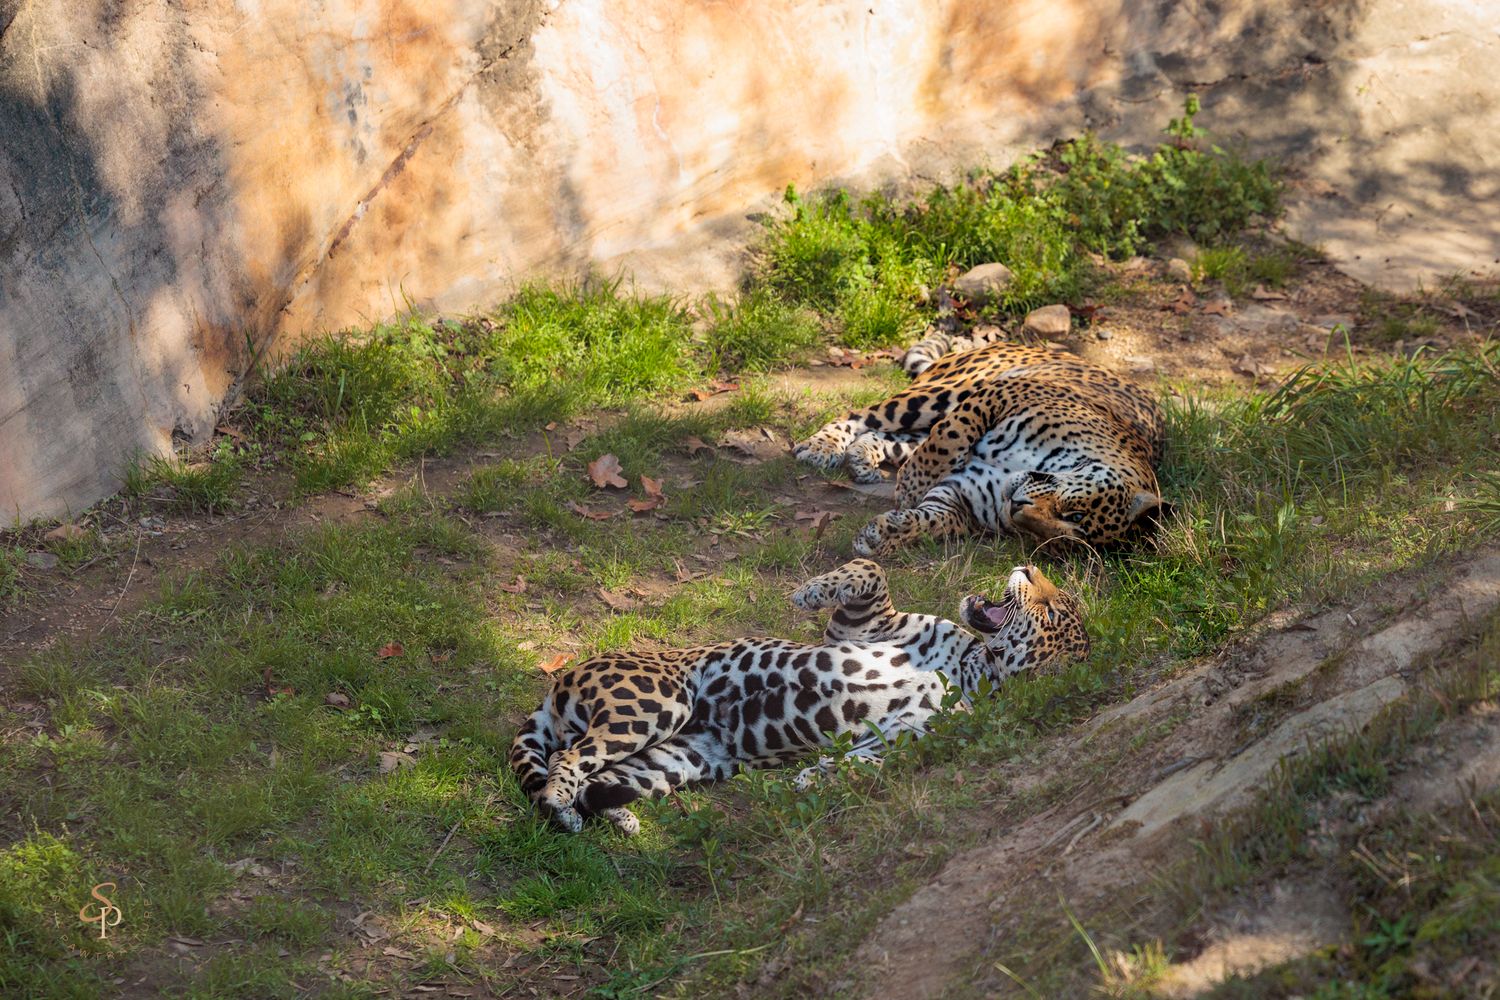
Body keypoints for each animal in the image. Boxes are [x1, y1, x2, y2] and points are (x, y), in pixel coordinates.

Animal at [509, 559, 1087, 834]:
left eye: (1053, 609)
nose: (1027, 567)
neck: (972, 672)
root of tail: (559, 682)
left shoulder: (902, 738)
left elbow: (860, 765)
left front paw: (809, 780)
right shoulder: (867, 627)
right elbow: (870, 570)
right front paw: (810, 591)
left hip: (674, 756)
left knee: (586, 770)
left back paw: (594, 811)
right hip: (659, 701)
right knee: (568, 757)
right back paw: (565, 803)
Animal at [794, 339, 1170, 555]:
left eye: (1055, 540)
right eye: (1074, 515)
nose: (1016, 509)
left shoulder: (957, 501)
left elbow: (928, 522)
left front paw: (883, 535)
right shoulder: (999, 396)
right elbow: (949, 439)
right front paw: (911, 487)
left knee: (898, 439)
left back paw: (862, 459)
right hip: (950, 390)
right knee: (864, 415)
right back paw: (822, 446)